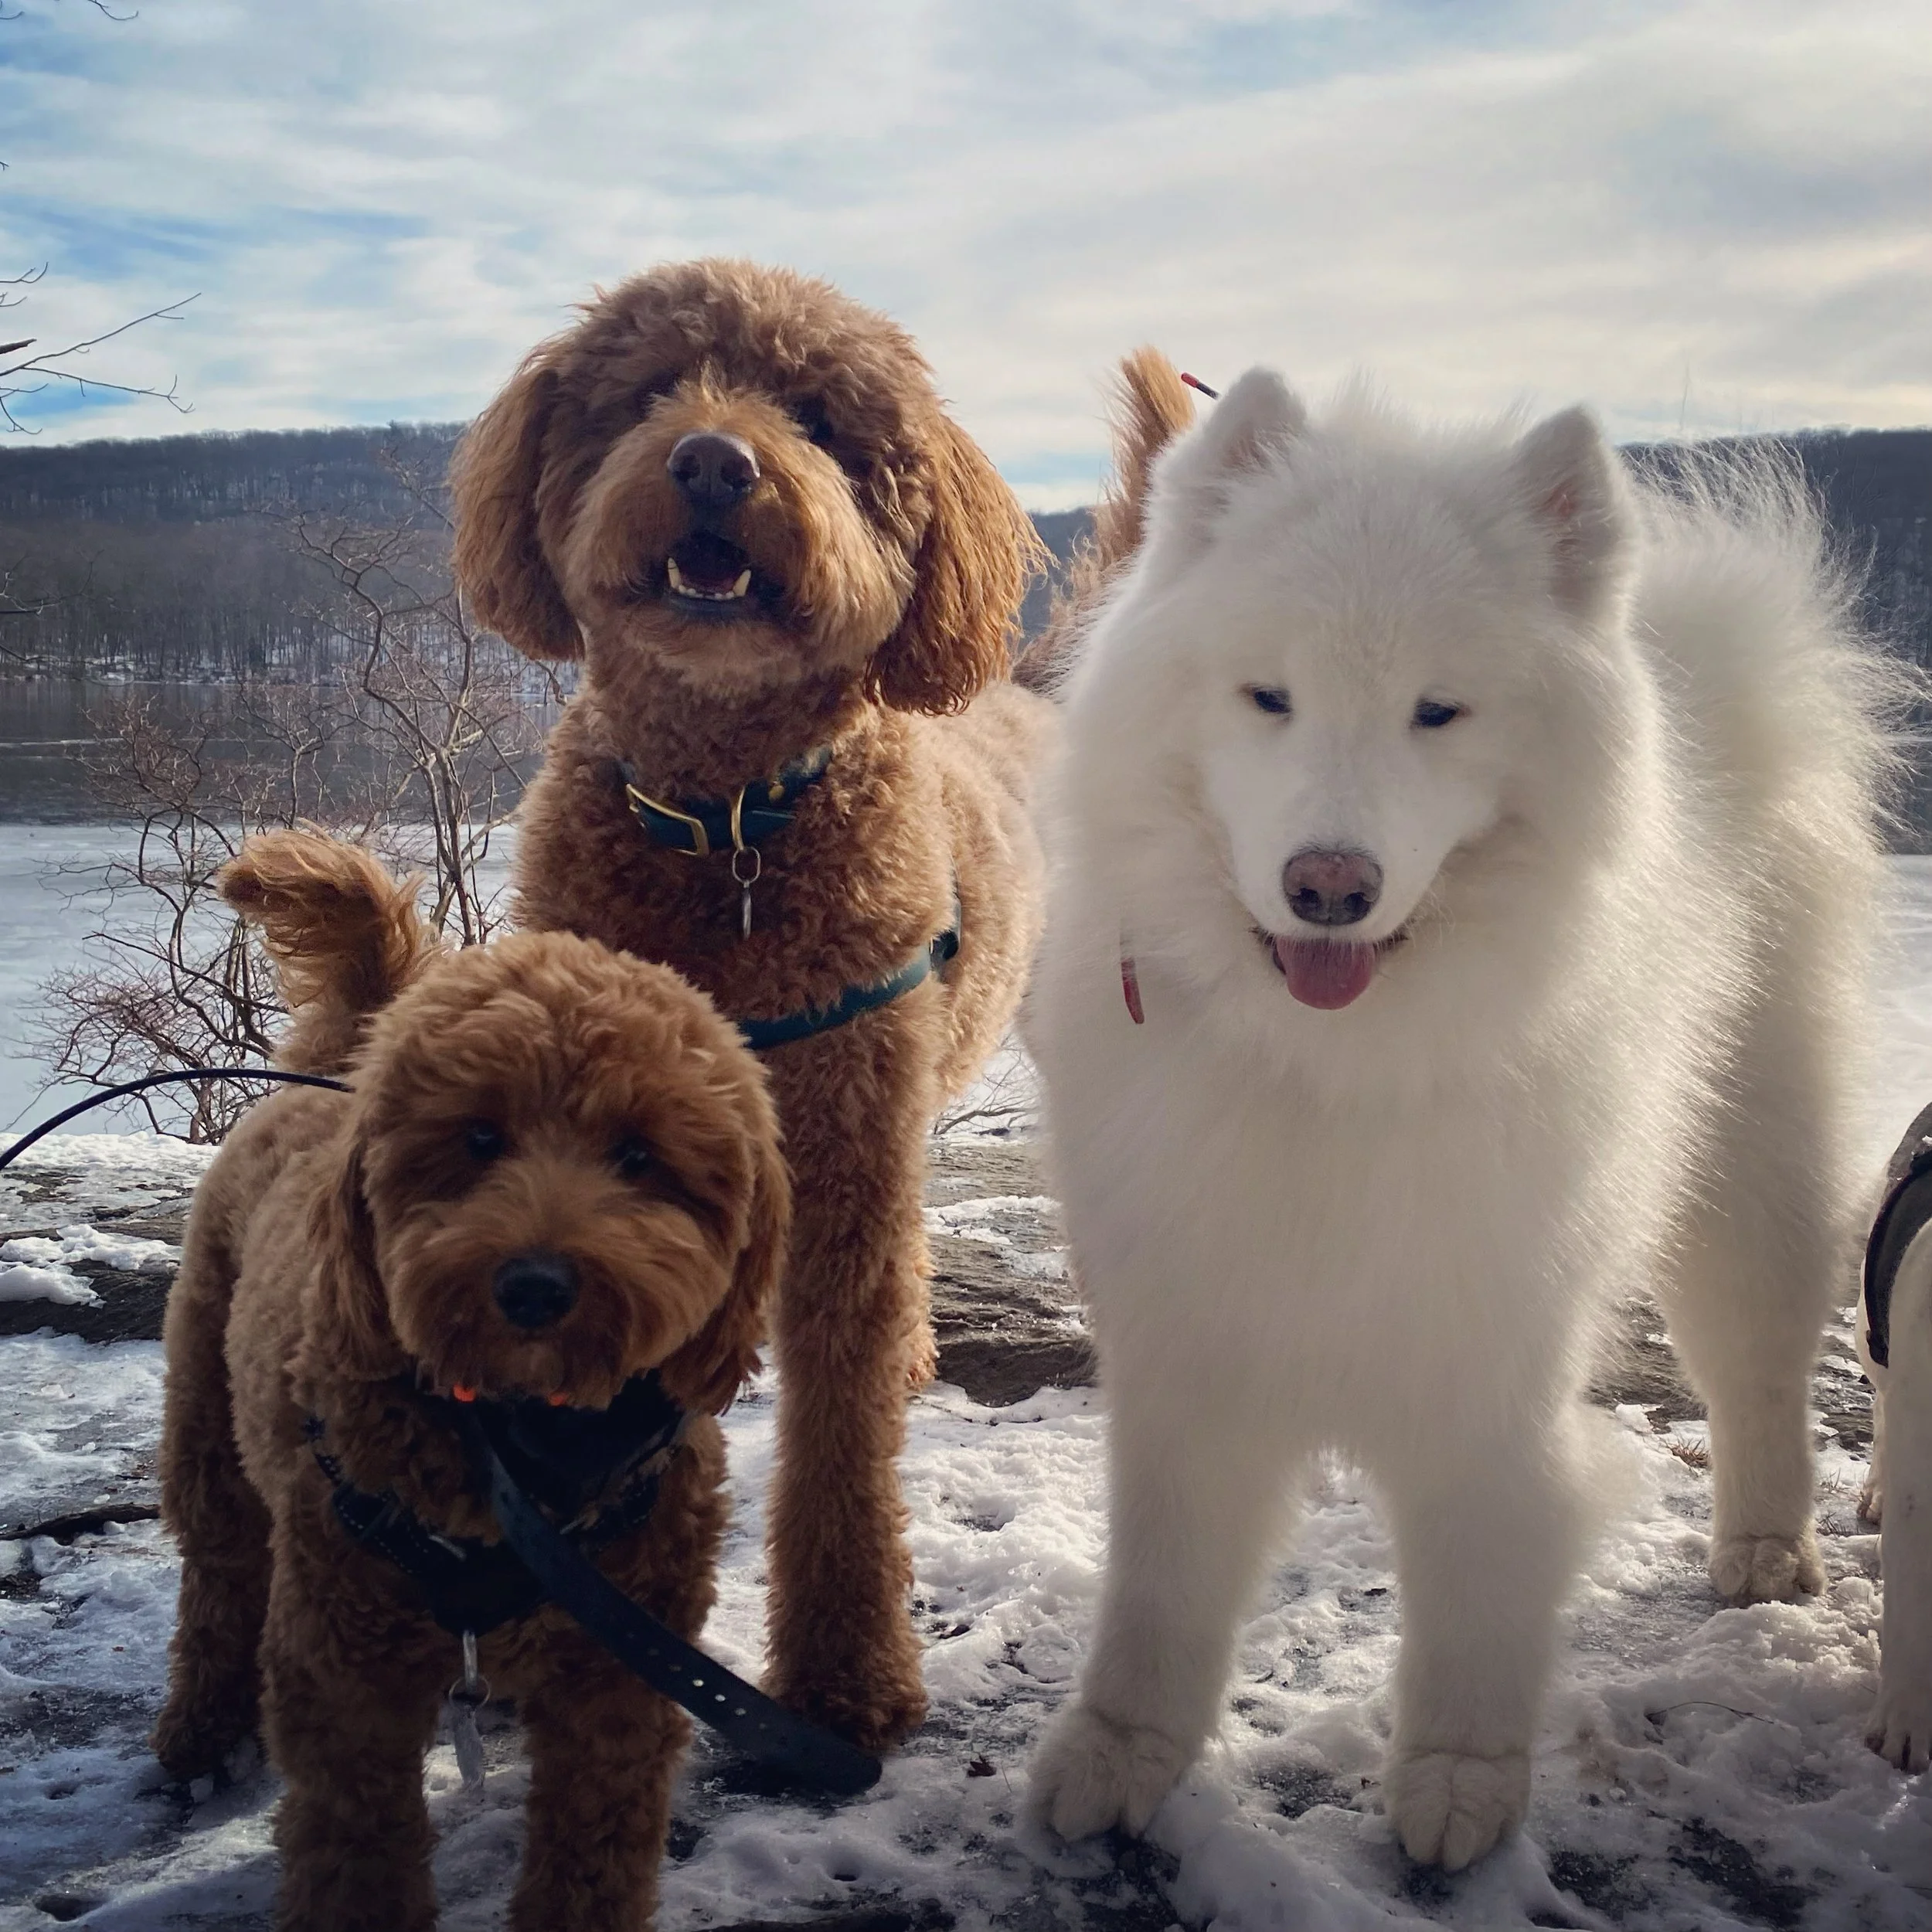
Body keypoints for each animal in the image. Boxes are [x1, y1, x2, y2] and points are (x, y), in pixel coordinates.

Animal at [151, 830, 788, 1931]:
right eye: (480, 1138)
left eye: (638, 1154)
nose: (534, 1284)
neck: (524, 1452)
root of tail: (343, 1061)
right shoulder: (347, 1691)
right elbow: (356, 1869)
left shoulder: (620, 1684)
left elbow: (591, 1858)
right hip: (206, 1422)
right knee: (218, 1574)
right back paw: (199, 1731)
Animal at [449, 258, 1052, 1750]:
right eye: (649, 389)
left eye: (822, 420)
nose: (716, 462)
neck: (726, 822)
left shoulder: (840, 1155)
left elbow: (840, 1436)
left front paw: (845, 1679)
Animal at [1020, 356, 1894, 1868]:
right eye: (1269, 697)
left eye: (1438, 713)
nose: (1329, 885)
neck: (1335, 1064)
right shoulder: (1188, 1337)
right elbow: (1163, 1586)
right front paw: (1119, 1752)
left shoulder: (1489, 1347)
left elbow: (1480, 1580)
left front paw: (1459, 1780)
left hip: (1750, 1186)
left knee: (1758, 1376)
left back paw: (1764, 1553)